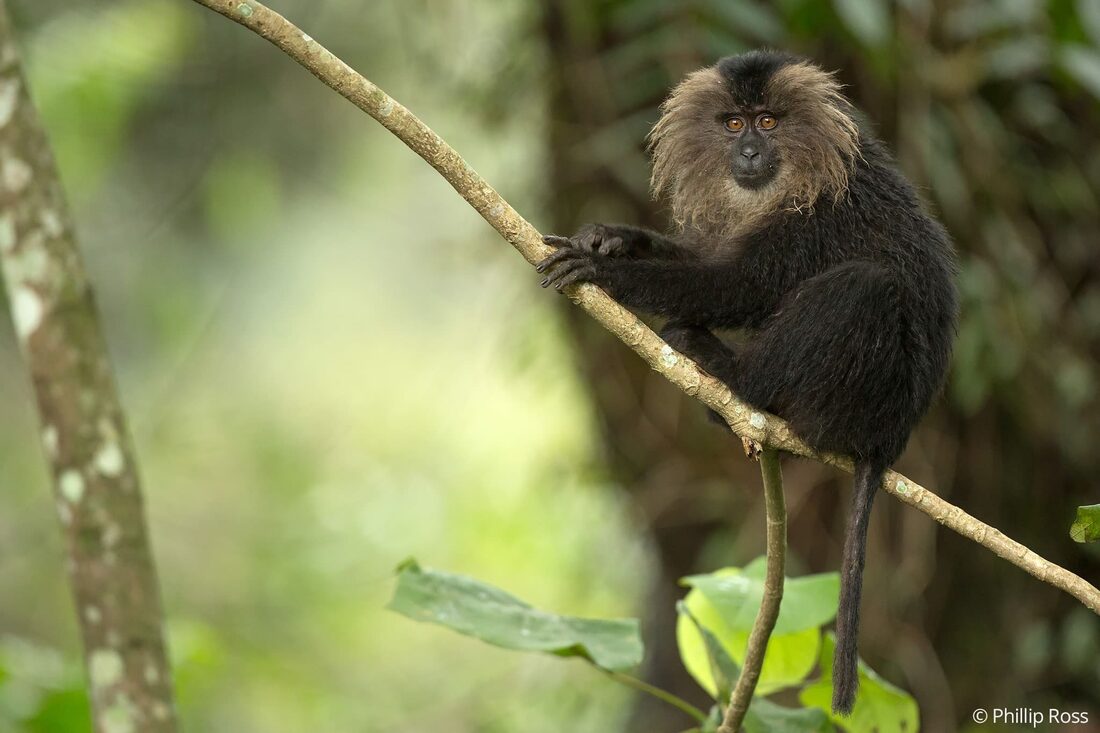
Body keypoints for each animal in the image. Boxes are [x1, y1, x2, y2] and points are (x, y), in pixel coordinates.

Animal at [537, 50, 957, 715]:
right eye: (733, 124)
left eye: (768, 121)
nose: (752, 152)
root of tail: (889, 439)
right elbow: (712, 261)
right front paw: (615, 237)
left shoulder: (816, 215)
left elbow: (742, 285)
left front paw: (605, 269)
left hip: (856, 399)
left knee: (863, 285)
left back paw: (730, 374)